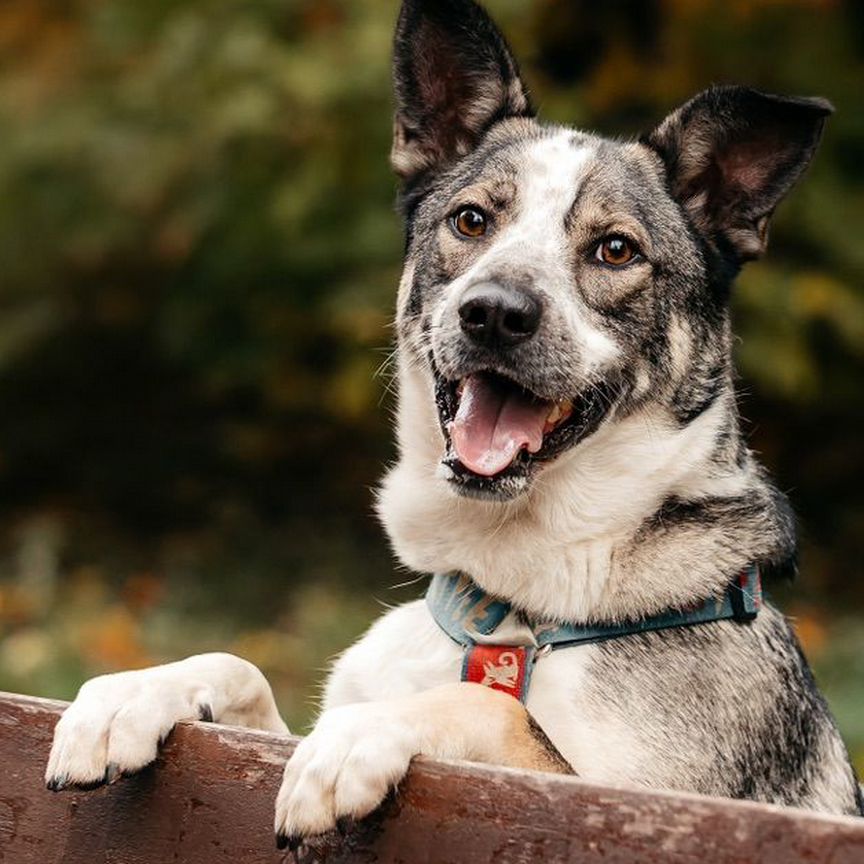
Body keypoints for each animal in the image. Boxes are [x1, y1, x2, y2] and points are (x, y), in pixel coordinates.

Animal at [49, 0, 864, 852]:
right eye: (471, 220)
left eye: (616, 249)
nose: (496, 312)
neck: (511, 614)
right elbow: (243, 670)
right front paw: (134, 694)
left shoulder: (652, 805)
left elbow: (487, 706)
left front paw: (356, 741)